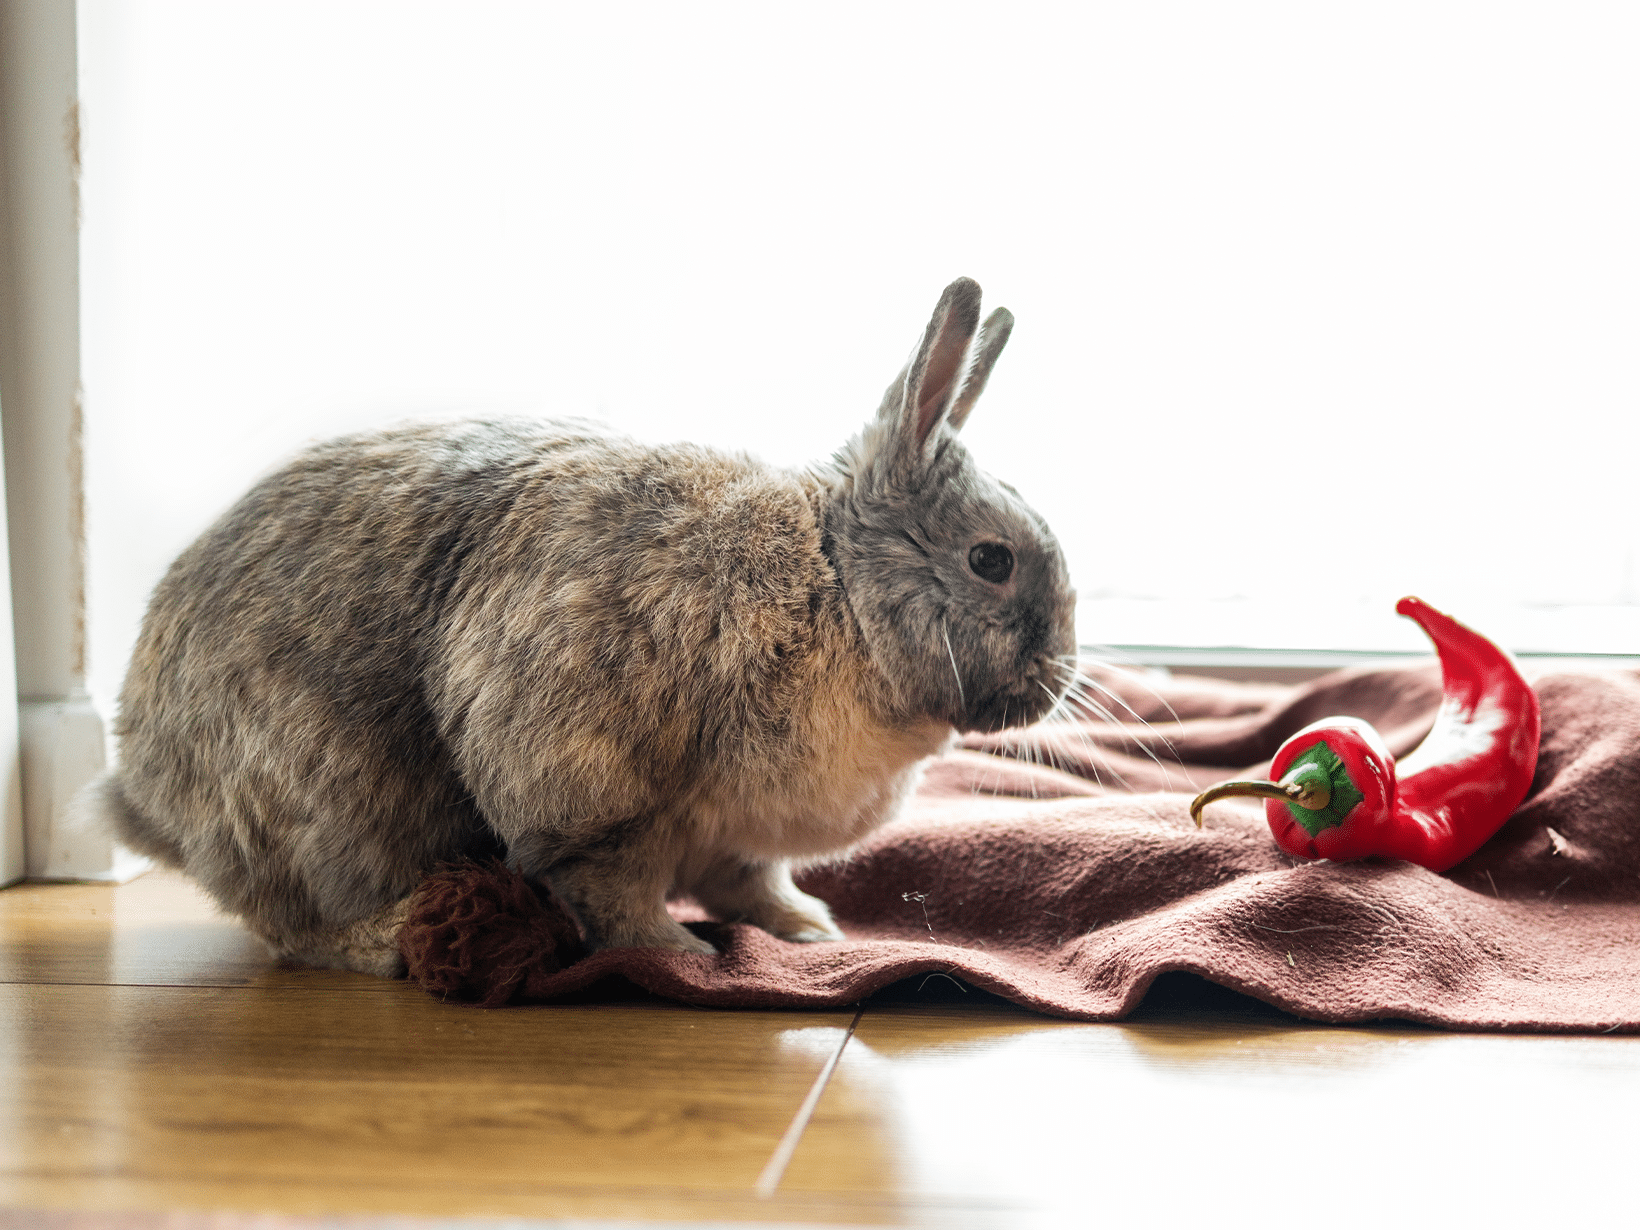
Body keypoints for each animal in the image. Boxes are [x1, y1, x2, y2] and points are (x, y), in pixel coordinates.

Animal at [93, 277, 1088, 970]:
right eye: (991, 560)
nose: (1061, 674)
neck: (833, 582)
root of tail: (141, 793)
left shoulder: (730, 834)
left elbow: (752, 883)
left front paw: (810, 931)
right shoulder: (601, 795)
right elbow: (612, 888)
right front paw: (679, 954)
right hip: (331, 807)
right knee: (293, 927)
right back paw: (389, 943)